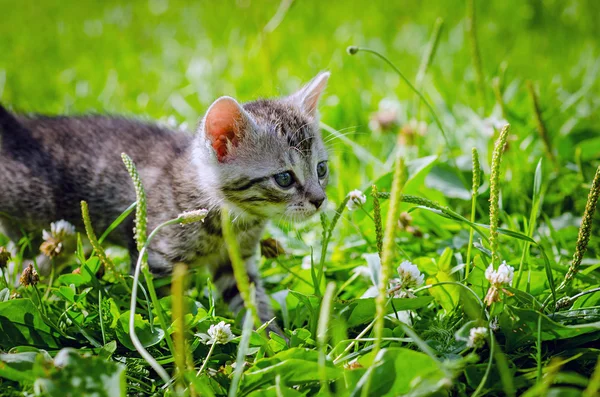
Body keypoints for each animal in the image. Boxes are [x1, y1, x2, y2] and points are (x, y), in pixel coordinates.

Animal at [0, 72, 330, 326]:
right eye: (284, 179)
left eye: (321, 169)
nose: (319, 199)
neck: (229, 217)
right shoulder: (156, 259)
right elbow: (164, 312)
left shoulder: (236, 261)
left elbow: (251, 301)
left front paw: (272, 339)